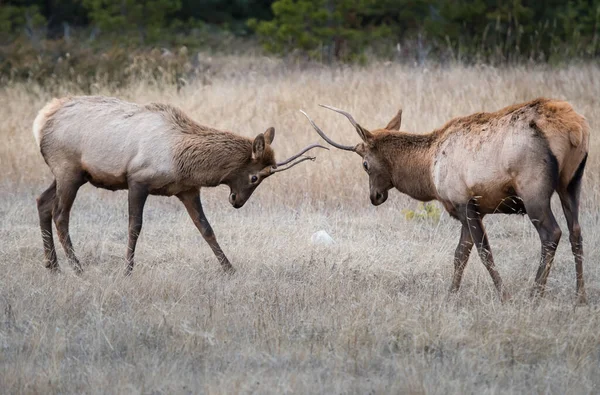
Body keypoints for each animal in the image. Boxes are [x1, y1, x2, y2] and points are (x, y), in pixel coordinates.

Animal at [33, 96, 326, 276]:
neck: (184, 160)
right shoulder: (137, 180)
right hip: (68, 170)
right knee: (60, 214)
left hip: (71, 174)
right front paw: (127, 269)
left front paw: (229, 268)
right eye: (255, 177)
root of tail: (40, 121)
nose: (237, 201)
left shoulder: (187, 190)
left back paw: (52, 265)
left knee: (42, 202)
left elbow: (206, 229)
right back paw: (77, 267)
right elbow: (134, 226)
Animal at [304, 98, 592, 304]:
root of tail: (575, 129)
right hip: (571, 183)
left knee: (552, 233)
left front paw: (504, 295)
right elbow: (460, 255)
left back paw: (535, 295)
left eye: (365, 164)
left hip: (534, 189)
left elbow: (483, 252)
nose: (375, 196)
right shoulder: (473, 209)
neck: (428, 169)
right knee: (576, 232)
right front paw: (451, 294)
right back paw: (580, 296)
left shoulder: (464, 202)